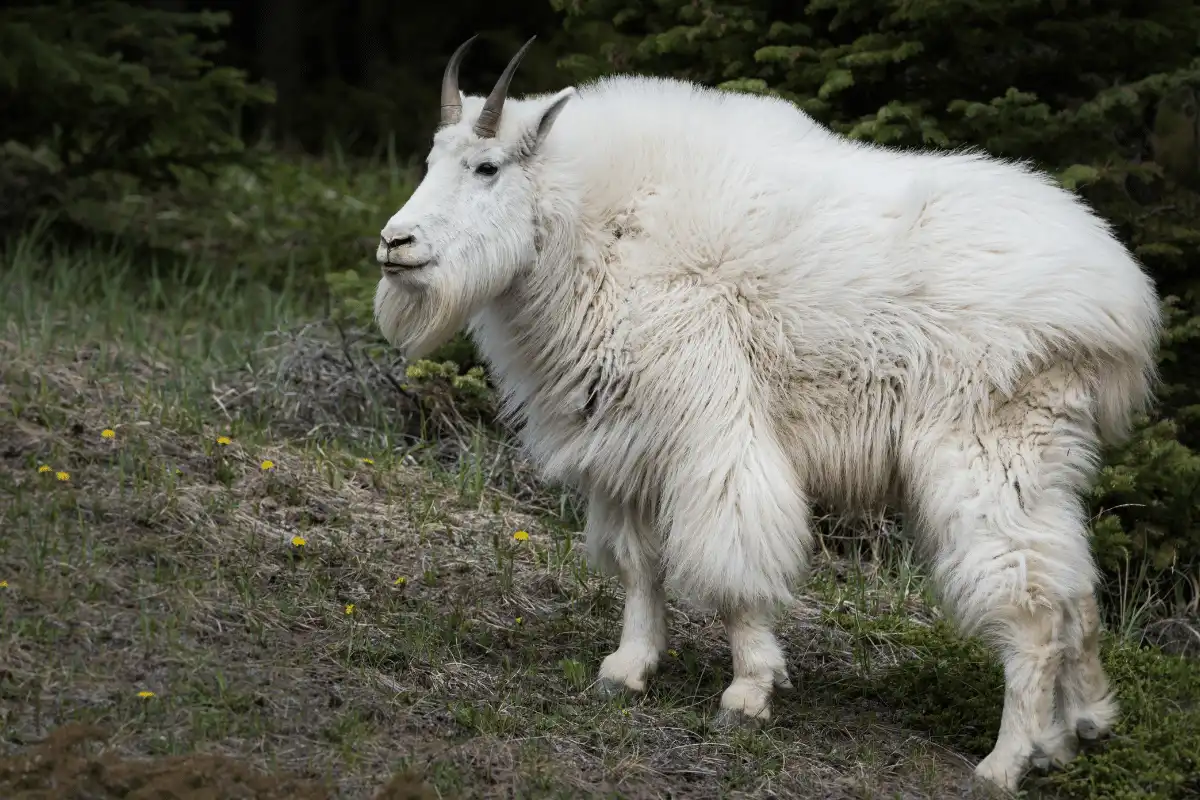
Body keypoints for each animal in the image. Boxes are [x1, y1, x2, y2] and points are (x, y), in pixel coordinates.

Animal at [372, 35, 1161, 796]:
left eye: (486, 167)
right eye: (430, 160)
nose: (394, 243)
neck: (593, 222)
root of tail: (1120, 300)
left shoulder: (713, 431)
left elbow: (734, 559)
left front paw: (748, 692)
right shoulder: (623, 445)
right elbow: (637, 562)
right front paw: (628, 668)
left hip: (986, 452)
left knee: (1033, 607)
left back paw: (1004, 762)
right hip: (1043, 457)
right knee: (1075, 590)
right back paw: (1077, 731)